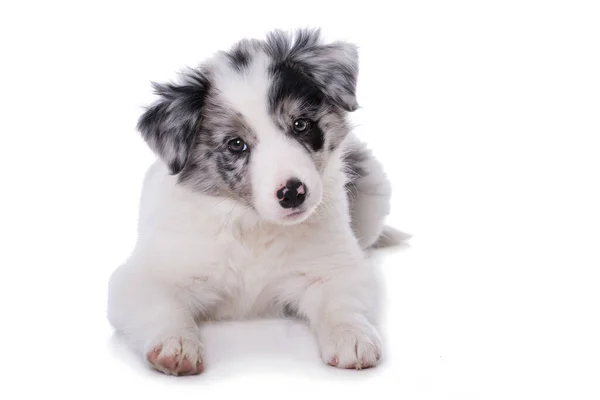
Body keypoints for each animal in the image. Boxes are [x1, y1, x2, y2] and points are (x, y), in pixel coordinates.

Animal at [108, 28, 398, 376]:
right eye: (236, 144)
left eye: (301, 124)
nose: (292, 193)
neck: (253, 225)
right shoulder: (143, 276)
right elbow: (160, 307)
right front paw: (175, 344)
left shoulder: (337, 266)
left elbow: (343, 301)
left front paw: (351, 336)